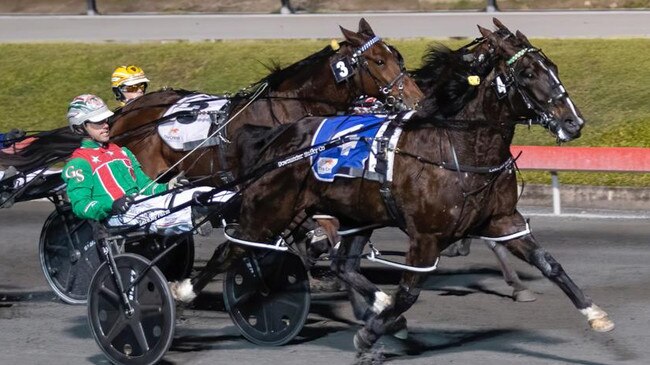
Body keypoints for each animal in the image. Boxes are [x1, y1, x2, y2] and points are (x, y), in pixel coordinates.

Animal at [219, 17, 612, 356]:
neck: (460, 147)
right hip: (279, 207)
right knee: (252, 248)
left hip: (358, 216)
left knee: (344, 264)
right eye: (528, 72)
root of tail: (278, 135)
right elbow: (408, 292)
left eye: (553, 66)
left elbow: (548, 263)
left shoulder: (502, 219)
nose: (573, 122)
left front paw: (594, 313)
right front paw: (370, 334)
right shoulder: (426, 236)